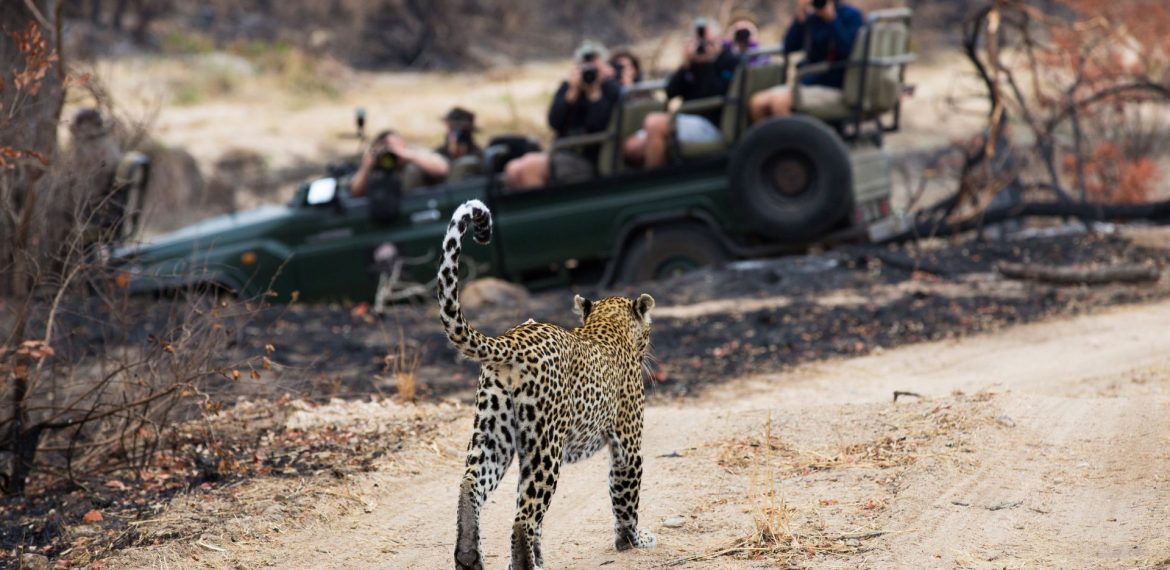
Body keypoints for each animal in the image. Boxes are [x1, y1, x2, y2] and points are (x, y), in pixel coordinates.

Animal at [437, 200, 658, 570]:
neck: (608, 324)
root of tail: (511, 339)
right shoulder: (627, 443)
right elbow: (625, 498)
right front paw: (632, 542)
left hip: (493, 432)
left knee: (471, 486)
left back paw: (469, 555)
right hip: (545, 445)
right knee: (522, 517)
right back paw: (524, 566)